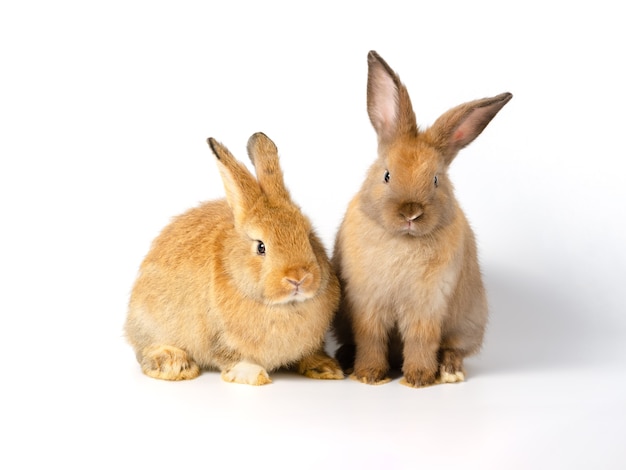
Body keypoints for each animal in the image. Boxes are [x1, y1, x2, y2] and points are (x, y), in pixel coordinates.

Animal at [124, 132, 344, 386]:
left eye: (308, 236)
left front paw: (326, 368)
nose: (298, 278)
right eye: (261, 247)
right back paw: (173, 364)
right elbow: (234, 358)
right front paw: (253, 375)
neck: (283, 306)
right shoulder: (220, 338)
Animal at [334, 52, 510, 390]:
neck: (402, 240)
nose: (410, 213)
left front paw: (418, 379)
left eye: (436, 180)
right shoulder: (367, 304)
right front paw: (369, 375)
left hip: (468, 322)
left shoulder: (426, 306)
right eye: (387, 175)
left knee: (454, 349)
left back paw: (450, 372)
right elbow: (371, 338)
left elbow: (421, 340)